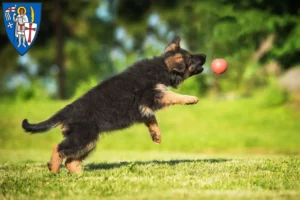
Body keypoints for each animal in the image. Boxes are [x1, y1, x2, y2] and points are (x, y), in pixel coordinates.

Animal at [22, 36, 206, 173]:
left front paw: (156, 135)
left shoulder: (144, 108)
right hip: (82, 137)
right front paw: (191, 98)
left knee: (70, 161)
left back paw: (80, 175)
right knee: (58, 148)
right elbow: (173, 96)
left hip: (88, 140)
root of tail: (67, 110)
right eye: (191, 58)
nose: (204, 56)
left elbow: (152, 120)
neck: (161, 68)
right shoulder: (153, 95)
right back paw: (53, 169)